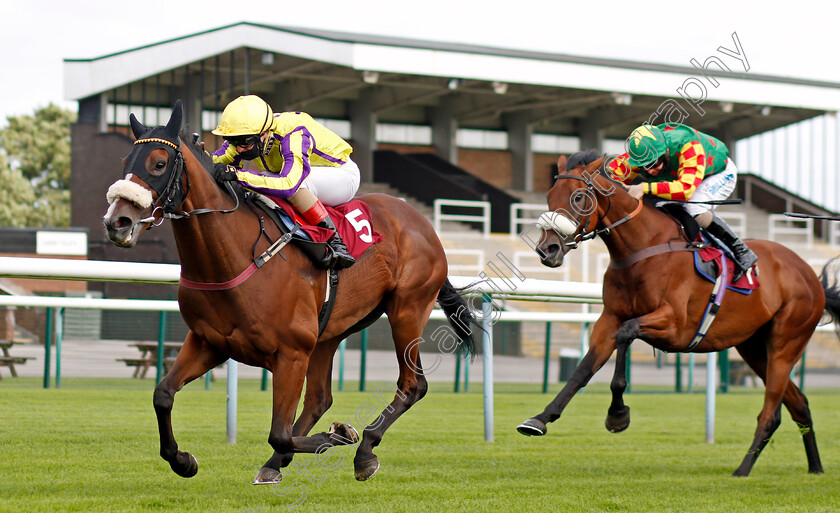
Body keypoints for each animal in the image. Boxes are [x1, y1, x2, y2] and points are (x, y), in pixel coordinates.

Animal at [100, 101, 472, 484]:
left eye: (159, 164)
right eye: (126, 161)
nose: (117, 222)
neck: (233, 256)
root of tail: (422, 223)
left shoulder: (291, 353)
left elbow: (279, 432)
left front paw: (339, 435)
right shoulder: (209, 342)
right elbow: (162, 394)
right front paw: (182, 460)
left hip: (407, 310)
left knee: (412, 385)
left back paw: (364, 449)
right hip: (329, 332)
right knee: (320, 398)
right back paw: (277, 463)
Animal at [520, 151, 840, 476]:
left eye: (578, 197)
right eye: (549, 196)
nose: (548, 249)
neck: (643, 247)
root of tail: (811, 277)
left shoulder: (674, 326)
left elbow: (626, 334)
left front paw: (618, 414)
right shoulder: (608, 319)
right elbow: (582, 369)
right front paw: (540, 419)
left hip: (786, 344)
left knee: (771, 412)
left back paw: (743, 469)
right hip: (754, 348)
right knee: (799, 404)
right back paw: (815, 467)